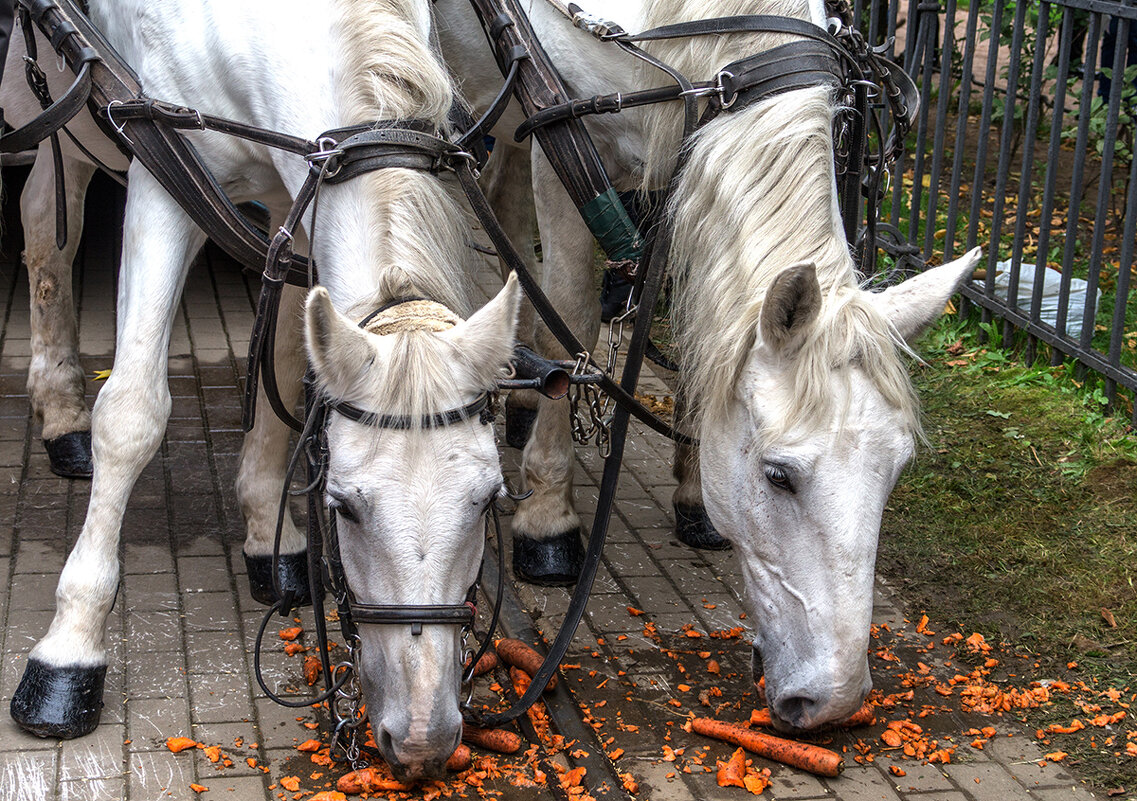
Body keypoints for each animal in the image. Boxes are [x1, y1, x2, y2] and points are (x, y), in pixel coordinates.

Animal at [3, 0, 520, 773]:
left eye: (487, 500)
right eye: (344, 507)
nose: (423, 737)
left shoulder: (297, 199)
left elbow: (281, 370)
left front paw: (267, 540)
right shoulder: (161, 185)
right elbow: (132, 412)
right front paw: (68, 652)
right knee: (46, 224)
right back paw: (65, 412)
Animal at [432, 0, 977, 728]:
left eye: (895, 469)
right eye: (778, 476)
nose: (833, 699)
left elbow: (700, 319)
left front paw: (693, 489)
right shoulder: (565, 144)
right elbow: (570, 308)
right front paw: (548, 516)